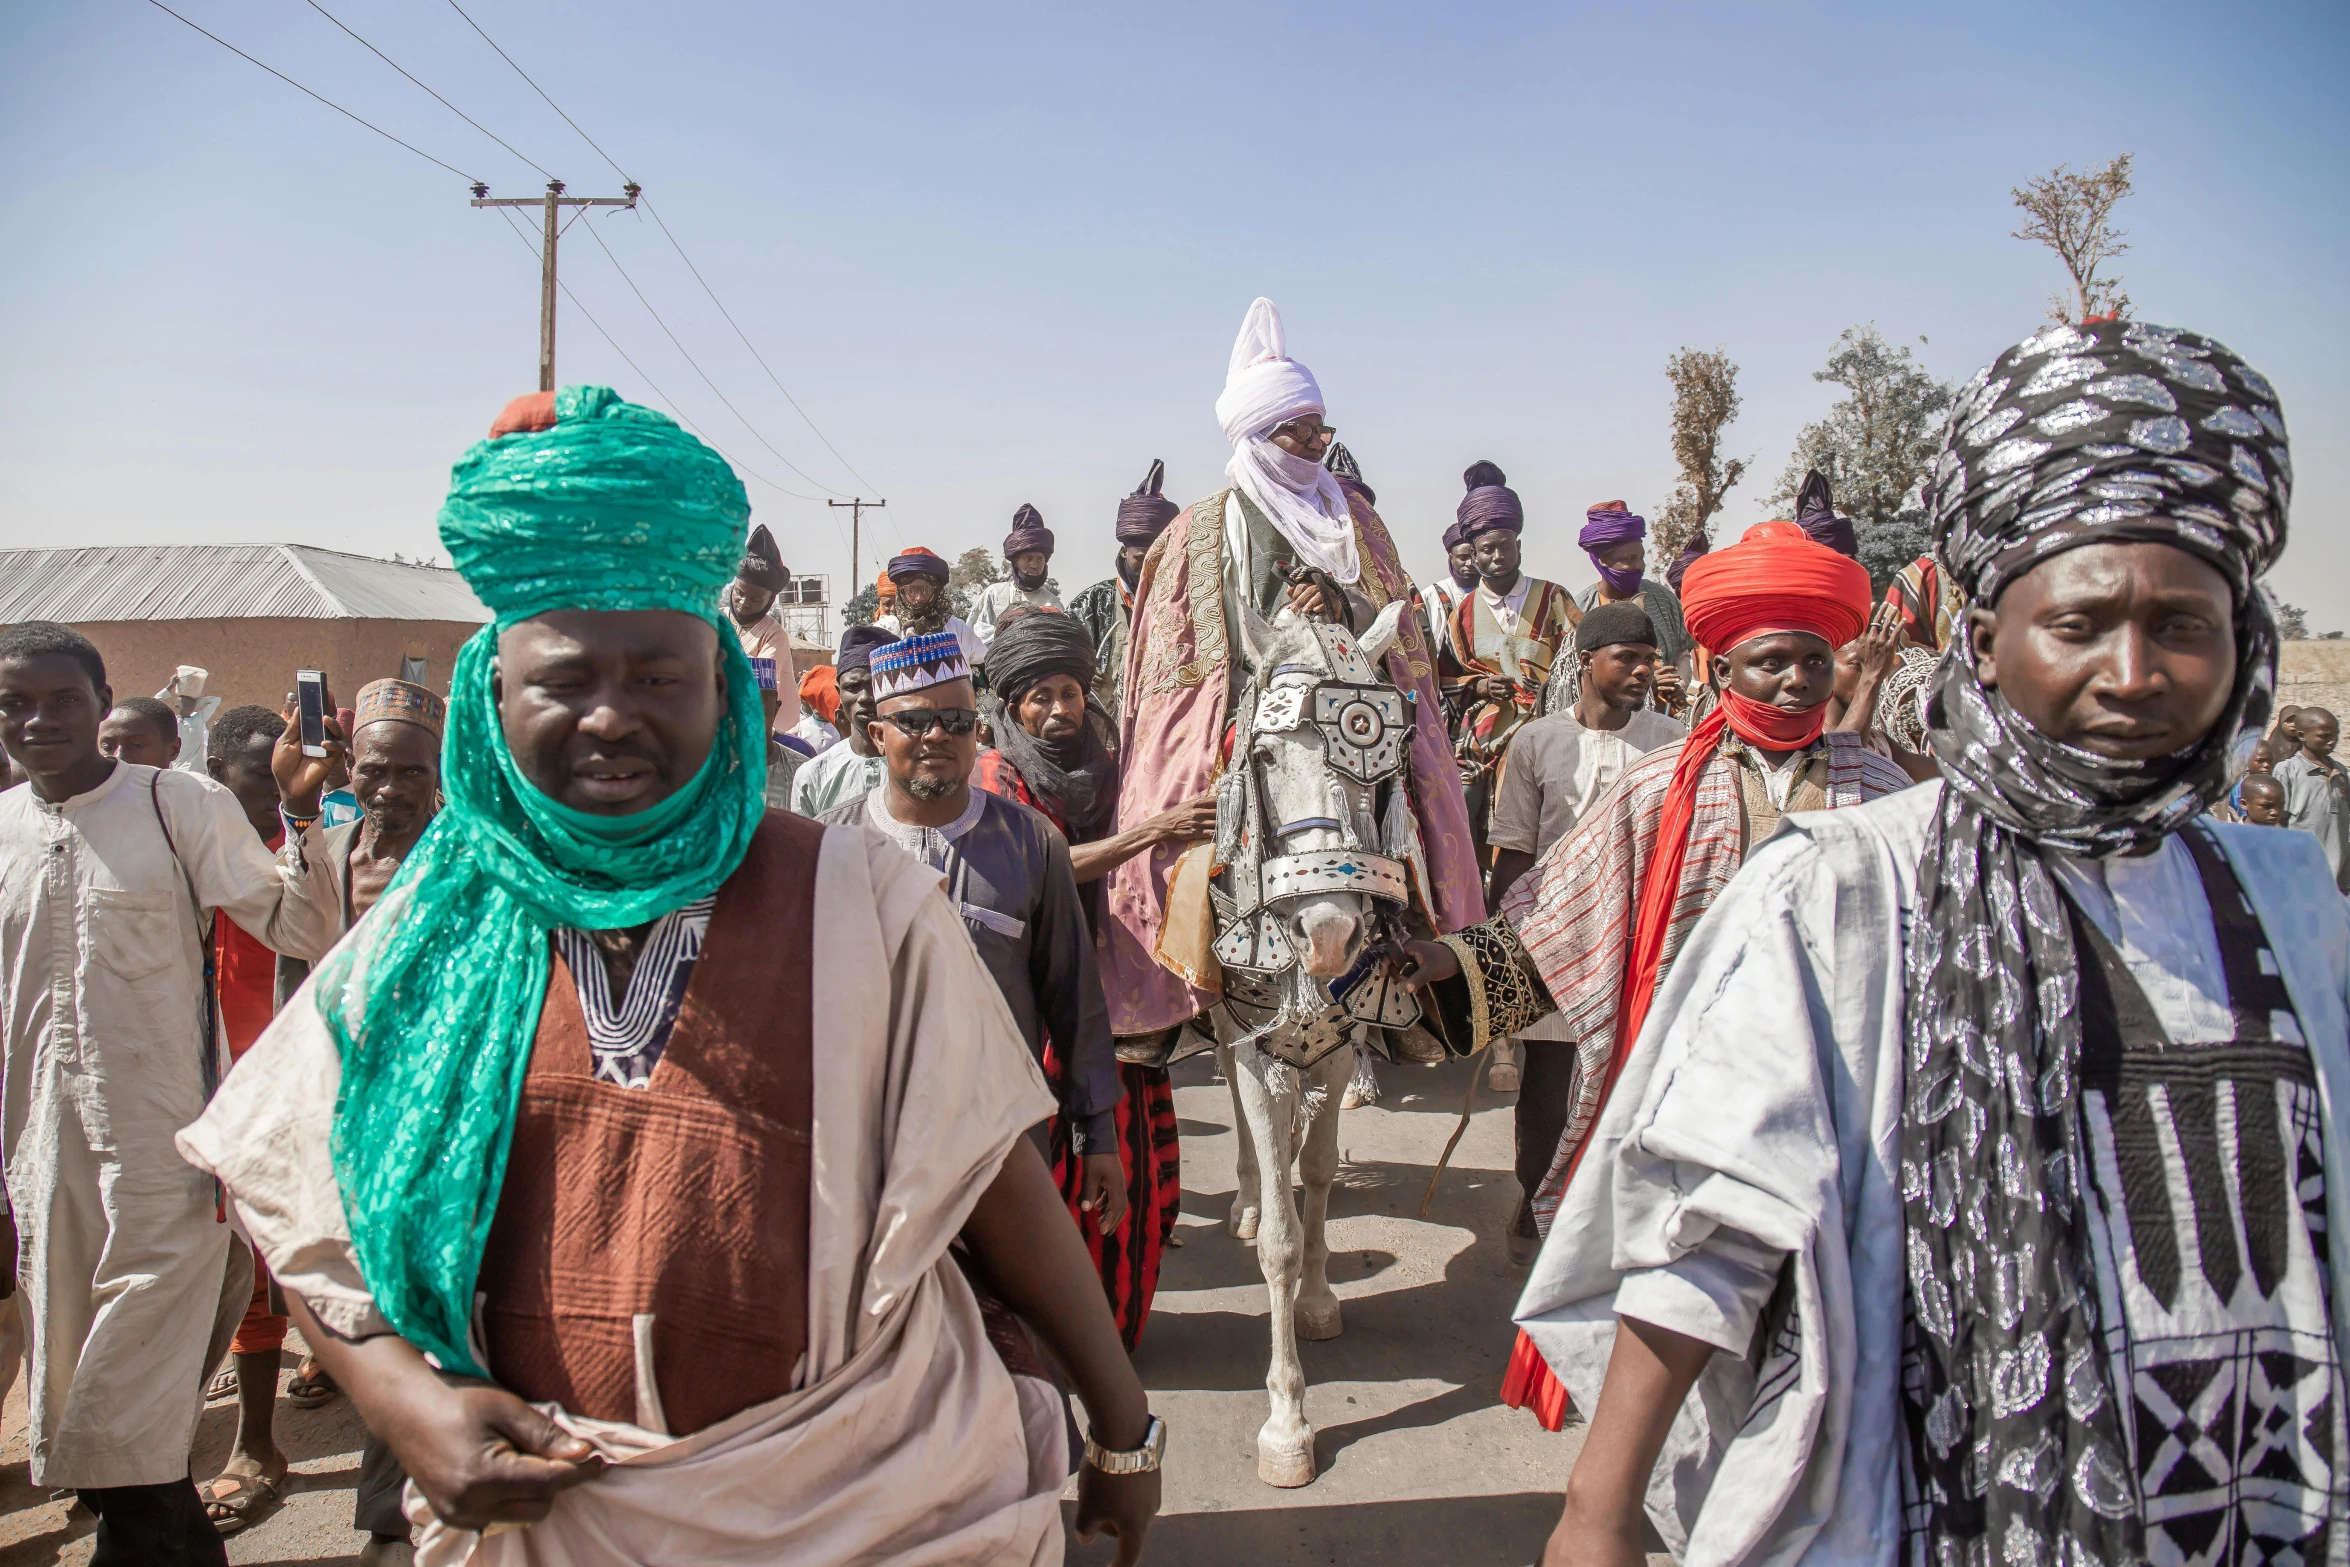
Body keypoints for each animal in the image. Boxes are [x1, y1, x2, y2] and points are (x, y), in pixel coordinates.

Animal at [1203, 594, 1438, 1494]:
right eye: (1265, 756)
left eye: (1378, 760)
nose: (1329, 931)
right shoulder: (1252, 1046)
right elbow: (1277, 1235)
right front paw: (1287, 1421)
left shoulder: (1337, 1049)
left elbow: (1320, 1176)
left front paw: (1318, 1295)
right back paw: (1242, 1195)